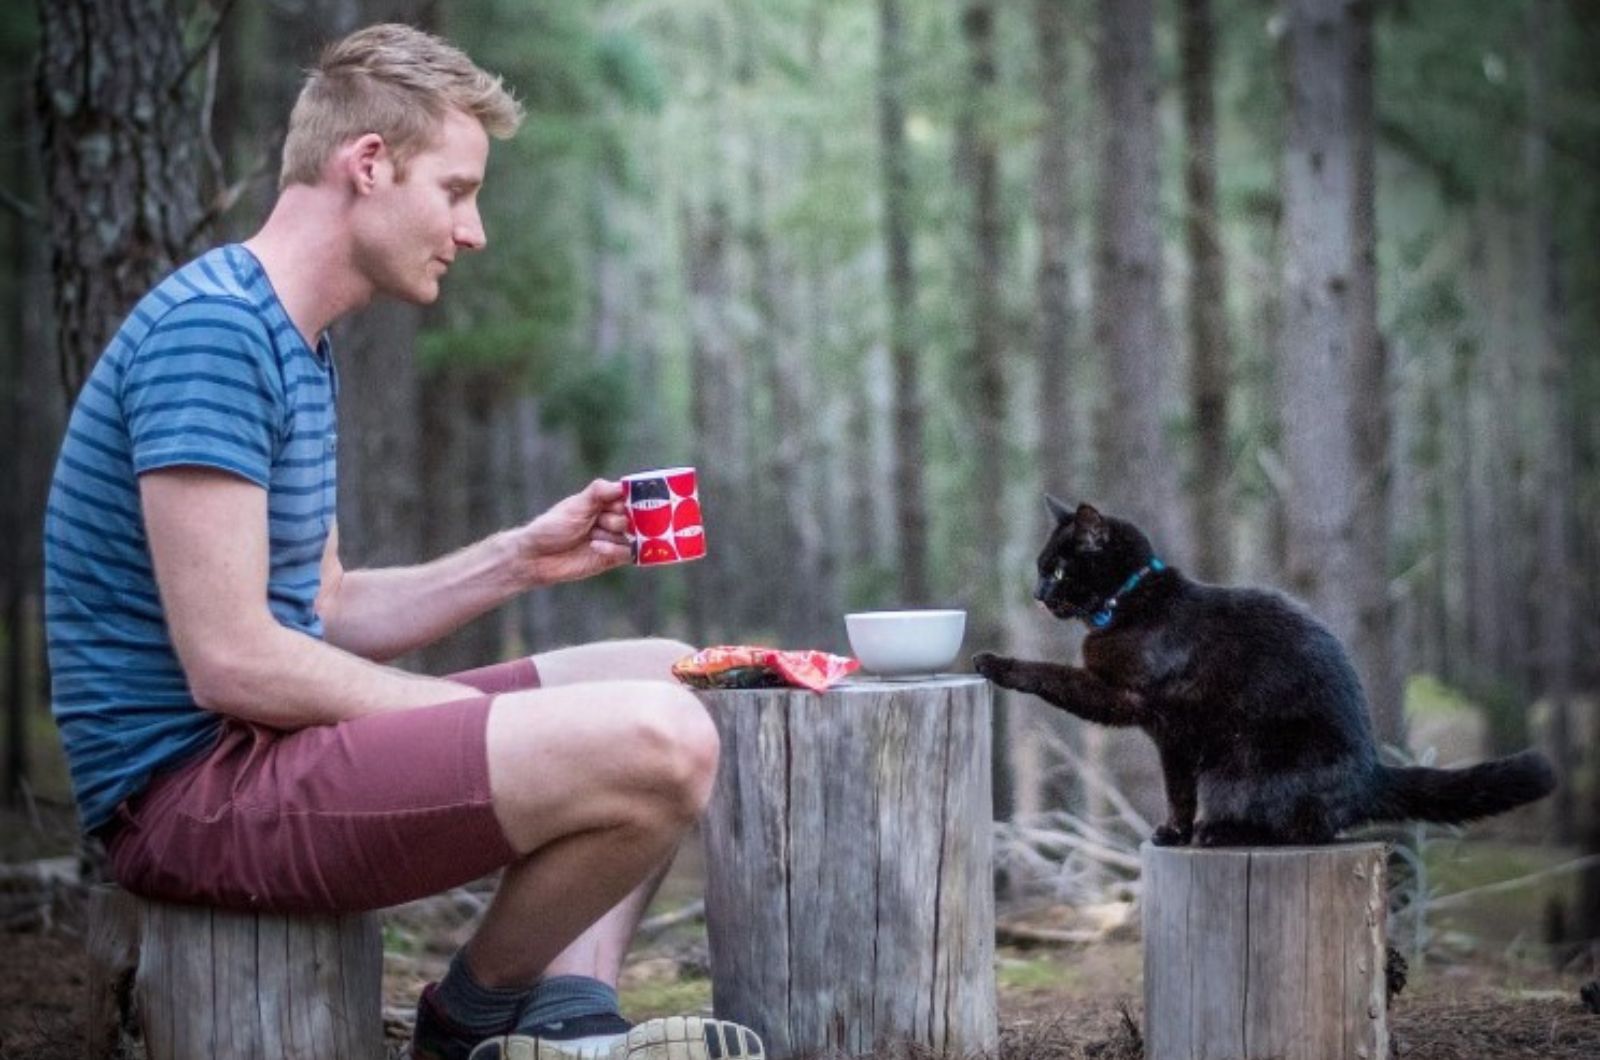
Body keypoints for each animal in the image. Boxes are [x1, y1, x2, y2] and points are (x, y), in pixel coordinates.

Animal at [966, 502, 1555, 851]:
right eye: (1041, 568)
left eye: (1058, 568)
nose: (1037, 593)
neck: (1130, 601)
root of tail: (1372, 773)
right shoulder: (1163, 732)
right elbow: (1176, 789)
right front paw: (1173, 832)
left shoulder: (1138, 707)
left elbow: (1053, 676)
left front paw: (993, 662)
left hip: (1243, 765)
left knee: (1304, 829)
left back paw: (1221, 832)